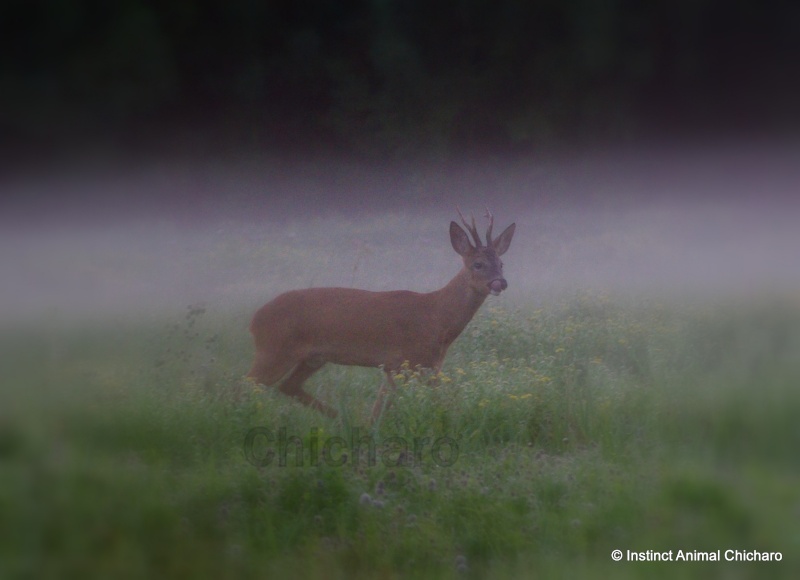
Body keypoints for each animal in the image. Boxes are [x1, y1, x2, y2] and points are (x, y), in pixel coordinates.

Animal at [247, 208, 516, 422]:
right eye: (478, 264)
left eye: (501, 264)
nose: (500, 283)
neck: (437, 317)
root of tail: (255, 319)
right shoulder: (406, 360)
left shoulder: (417, 365)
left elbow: (381, 407)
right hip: (274, 349)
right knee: (247, 385)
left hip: (313, 357)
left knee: (288, 386)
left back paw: (341, 418)